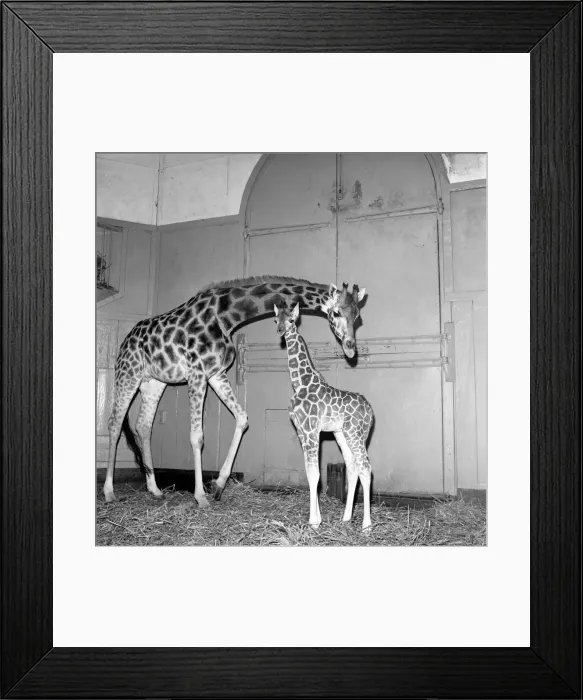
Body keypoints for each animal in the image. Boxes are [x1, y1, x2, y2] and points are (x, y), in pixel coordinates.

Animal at [103, 276, 367, 506]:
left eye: (357, 316)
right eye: (336, 313)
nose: (351, 350)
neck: (226, 316)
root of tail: (125, 340)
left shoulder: (216, 374)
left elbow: (242, 418)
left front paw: (219, 485)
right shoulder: (196, 373)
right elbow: (197, 436)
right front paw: (200, 497)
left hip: (153, 382)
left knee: (143, 425)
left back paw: (155, 489)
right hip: (128, 374)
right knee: (115, 423)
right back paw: (109, 492)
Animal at [274, 301, 374, 530]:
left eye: (291, 320)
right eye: (276, 320)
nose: (280, 331)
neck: (300, 382)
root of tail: (371, 412)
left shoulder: (311, 430)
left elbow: (315, 473)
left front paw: (313, 522)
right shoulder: (302, 431)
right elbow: (311, 472)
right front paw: (317, 518)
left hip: (355, 433)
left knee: (365, 468)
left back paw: (367, 526)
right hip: (342, 434)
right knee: (353, 466)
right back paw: (346, 518)